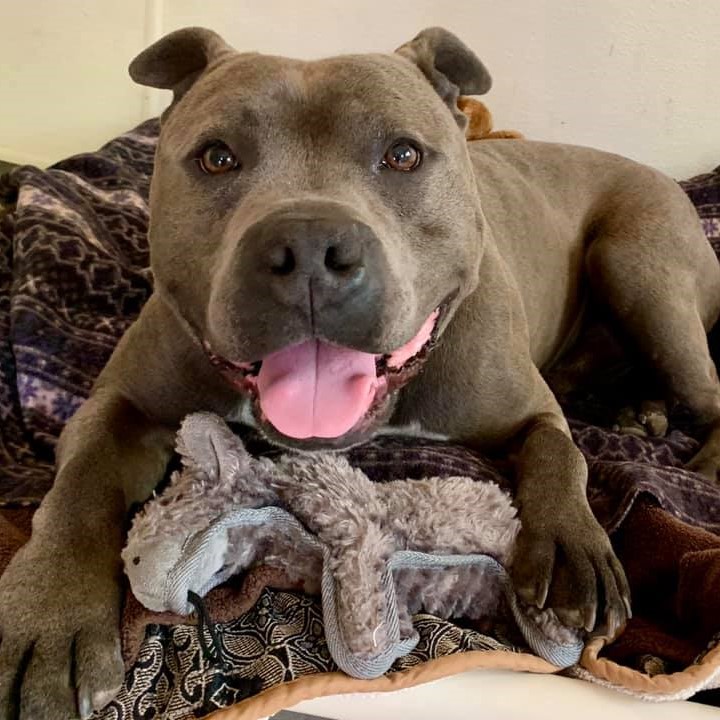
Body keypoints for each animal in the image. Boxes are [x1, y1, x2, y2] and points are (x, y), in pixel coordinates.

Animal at [1, 27, 719, 720]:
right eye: (216, 157)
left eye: (403, 156)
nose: (309, 246)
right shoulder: (120, 405)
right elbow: (79, 487)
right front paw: (49, 619)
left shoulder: (531, 413)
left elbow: (559, 454)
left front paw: (573, 550)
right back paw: (636, 408)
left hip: (636, 263)